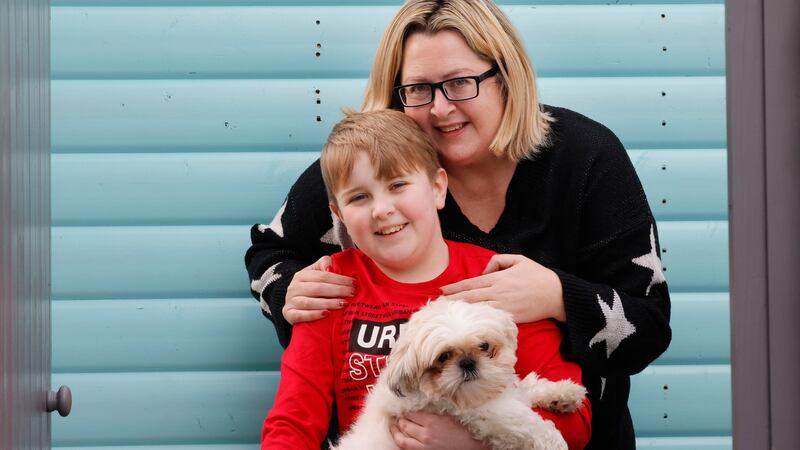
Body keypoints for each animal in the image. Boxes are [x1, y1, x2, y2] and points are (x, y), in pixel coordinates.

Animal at [332, 298, 588, 450]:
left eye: (484, 346)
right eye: (443, 357)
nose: (467, 363)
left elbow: (528, 388)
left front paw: (563, 395)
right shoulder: (486, 414)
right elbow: (527, 421)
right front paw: (555, 442)